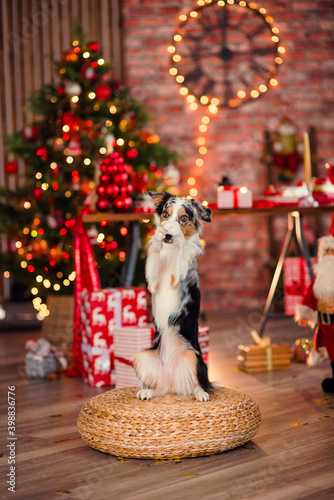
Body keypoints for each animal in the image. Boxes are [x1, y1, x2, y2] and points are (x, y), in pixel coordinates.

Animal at [133, 191, 214, 402]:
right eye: (165, 215)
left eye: (184, 218)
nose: (167, 234)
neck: (168, 253)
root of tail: (173, 383)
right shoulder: (153, 281)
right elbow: (154, 254)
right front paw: (157, 237)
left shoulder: (178, 276)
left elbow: (180, 250)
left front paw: (176, 235)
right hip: (141, 356)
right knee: (159, 386)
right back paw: (148, 391)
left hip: (193, 358)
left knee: (198, 384)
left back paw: (201, 394)